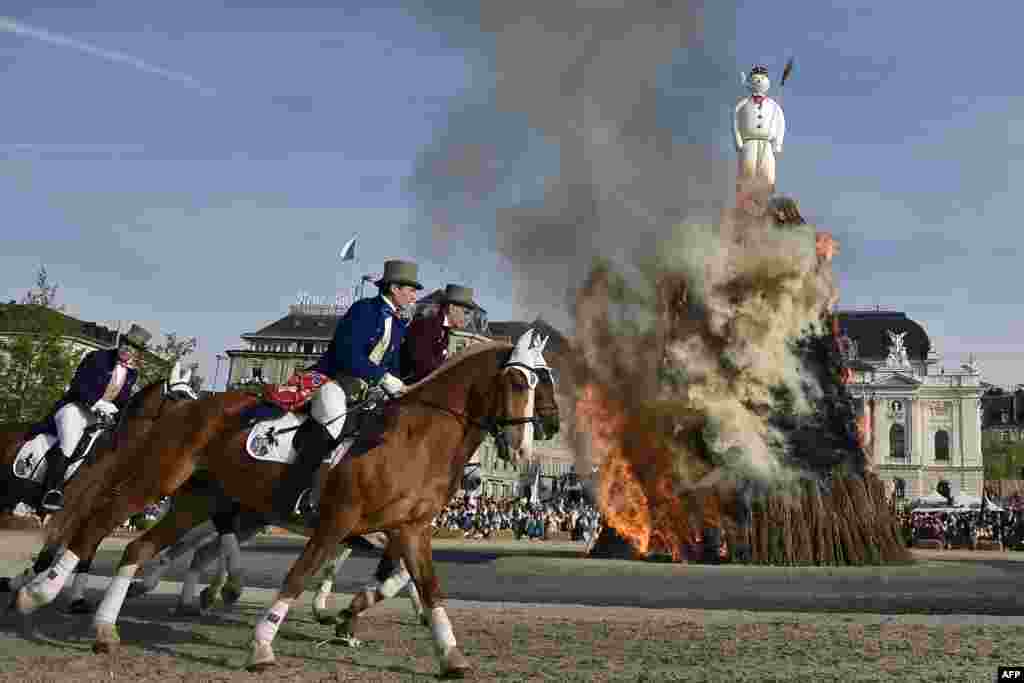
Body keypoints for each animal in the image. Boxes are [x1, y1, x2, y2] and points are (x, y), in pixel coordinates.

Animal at [12, 329, 548, 679]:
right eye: (519, 382)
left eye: (543, 384)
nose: (524, 450)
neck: (416, 437)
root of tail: (193, 405)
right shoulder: (338, 522)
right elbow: (298, 577)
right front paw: (264, 643)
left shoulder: (409, 529)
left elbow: (430, 589)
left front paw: (449, 654)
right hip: (156, 481)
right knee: (97, 524)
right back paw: (41, 590)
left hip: (197, 499)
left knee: (140, 548)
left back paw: (107, 627)